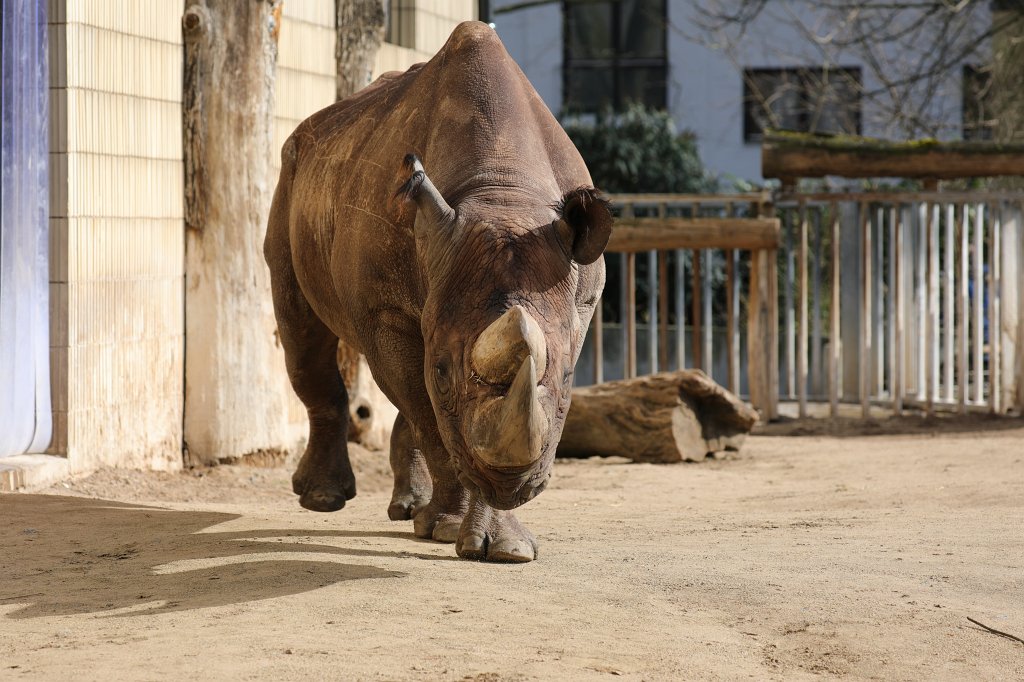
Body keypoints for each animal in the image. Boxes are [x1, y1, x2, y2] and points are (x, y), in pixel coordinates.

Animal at [264, 21, 612, 562]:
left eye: (570, 378)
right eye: (445, 374)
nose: (511, 485)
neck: (502, 194)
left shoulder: (578, 301)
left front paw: (505, 547)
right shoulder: (386, 309)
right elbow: (431, 411)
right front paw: (453, 528)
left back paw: (410, 510)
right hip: (291, 175)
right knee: (303, 332)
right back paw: (324, 500)